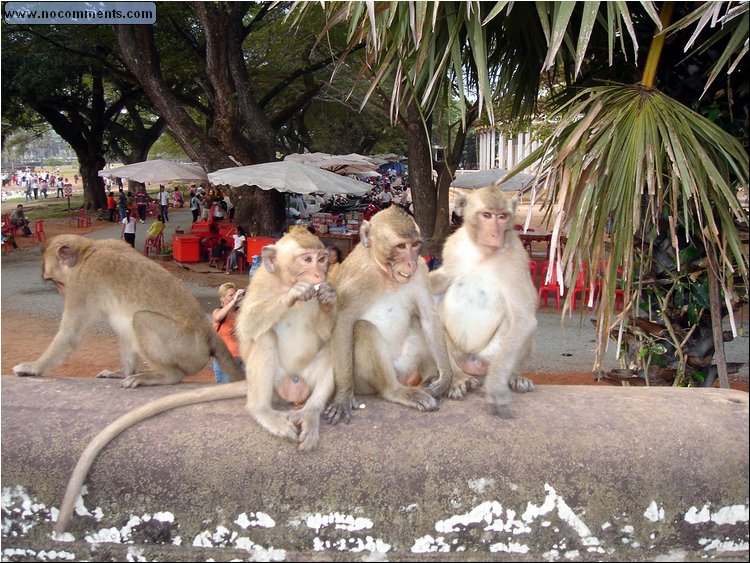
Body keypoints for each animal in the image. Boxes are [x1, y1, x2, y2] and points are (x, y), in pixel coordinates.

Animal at [12, 235, 244, 388]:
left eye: (55, 281)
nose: (61, 291)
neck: (88, 250)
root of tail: (208, 333)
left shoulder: (82, 283)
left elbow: (71, 334)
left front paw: (33, 367)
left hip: (187, 350)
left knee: (141, 319)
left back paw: (167, 376)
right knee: (128, 327)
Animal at [51, 229, 336, 536]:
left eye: (321, 259)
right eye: (306, 259)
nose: (320, 273)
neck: (284, 280)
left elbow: (327, 333)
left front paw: (328, 296)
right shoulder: (259, 283)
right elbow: (249, 326)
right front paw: (294, 294)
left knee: (331, 347)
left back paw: (311, 411)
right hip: (273, 381)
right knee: (265, 337)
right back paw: (261, 410)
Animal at [324, 208, 452, 428]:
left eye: (414, 245)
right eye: (400, 246)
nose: (410, 263)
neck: (385, 274)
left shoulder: (420, 272)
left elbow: (428, 317)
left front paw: (445, 380)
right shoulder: (356, 279)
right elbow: (343, 323)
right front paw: (343, 397)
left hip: (410, 363)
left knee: (417, 320)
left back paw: (436, 377)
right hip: (364, 381)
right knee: (362, 327)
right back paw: (397, 391)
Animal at [428, 186, 540, 418]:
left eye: (503, 216)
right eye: (486, 215)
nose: (495, 234)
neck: (481, 253)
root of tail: (472, 364)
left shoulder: (517, 258)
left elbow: (524, 318)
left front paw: (496, 386)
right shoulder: (453, 247)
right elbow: (440, 281)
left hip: (488, 356)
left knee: (515, 323)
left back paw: (513, 376)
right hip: (459, 354)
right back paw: (457, 378)